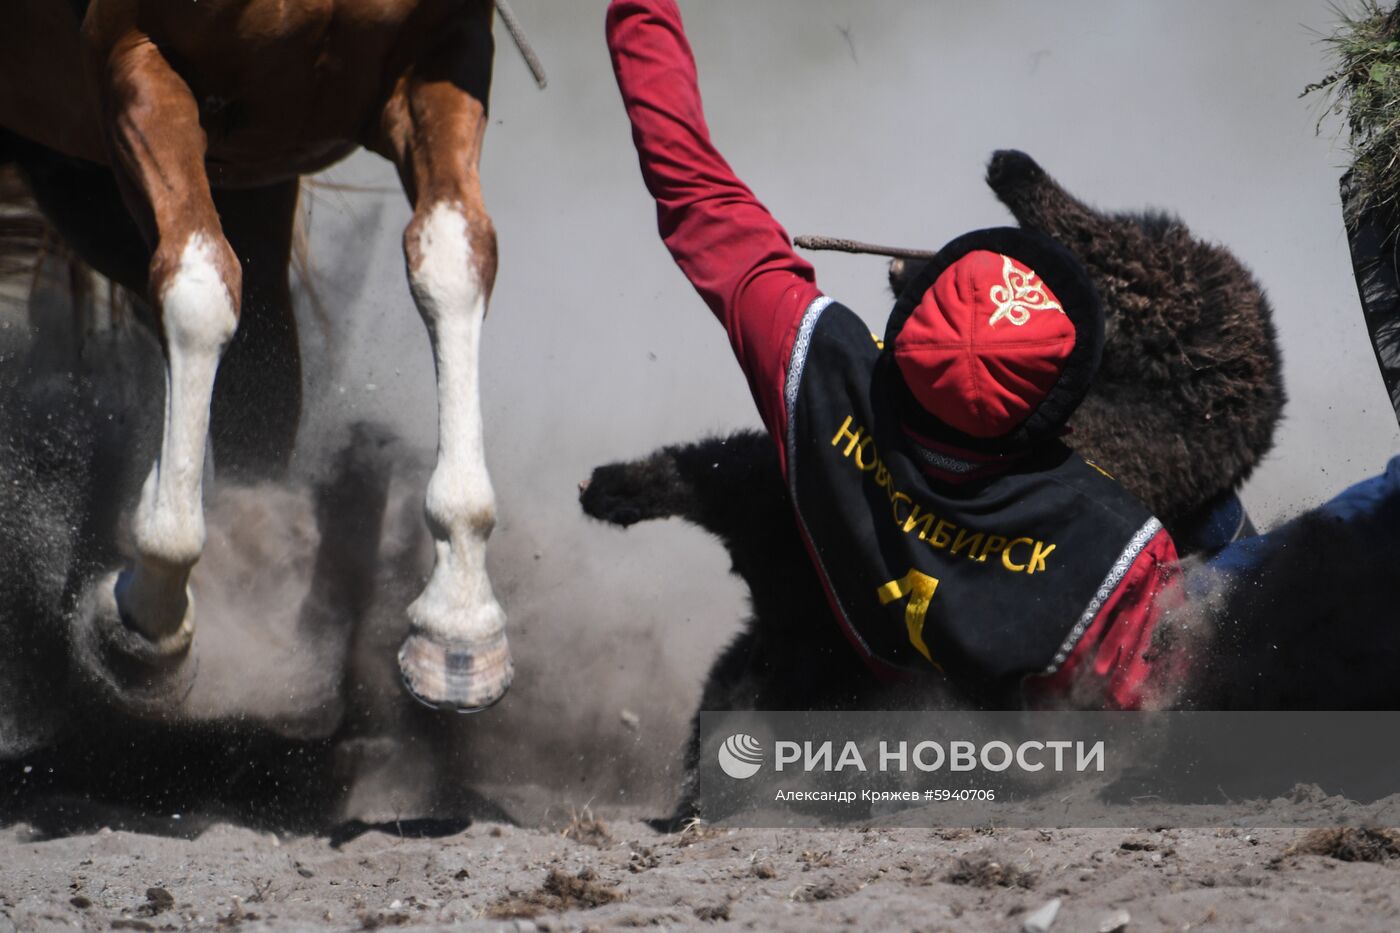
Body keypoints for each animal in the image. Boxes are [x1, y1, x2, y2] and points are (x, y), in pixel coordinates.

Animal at [0, 1, 534, 711]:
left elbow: (452, 258)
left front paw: (458, 624)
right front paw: (149, 617)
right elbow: (197, 294)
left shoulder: (442, 56)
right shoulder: (132, 60)